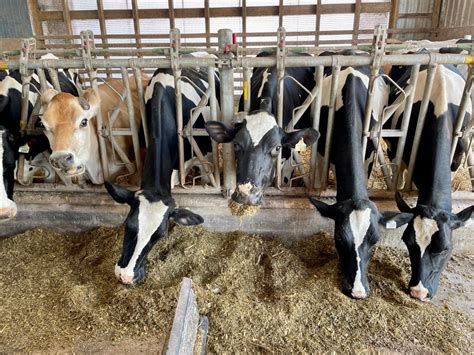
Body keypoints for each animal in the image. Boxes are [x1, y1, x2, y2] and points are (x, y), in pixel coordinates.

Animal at [384, 58, 472, 300]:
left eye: (445, 249)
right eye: (408, 243)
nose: (418, 292)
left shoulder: (456, 158)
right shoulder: (399, 153)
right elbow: (401, 181)